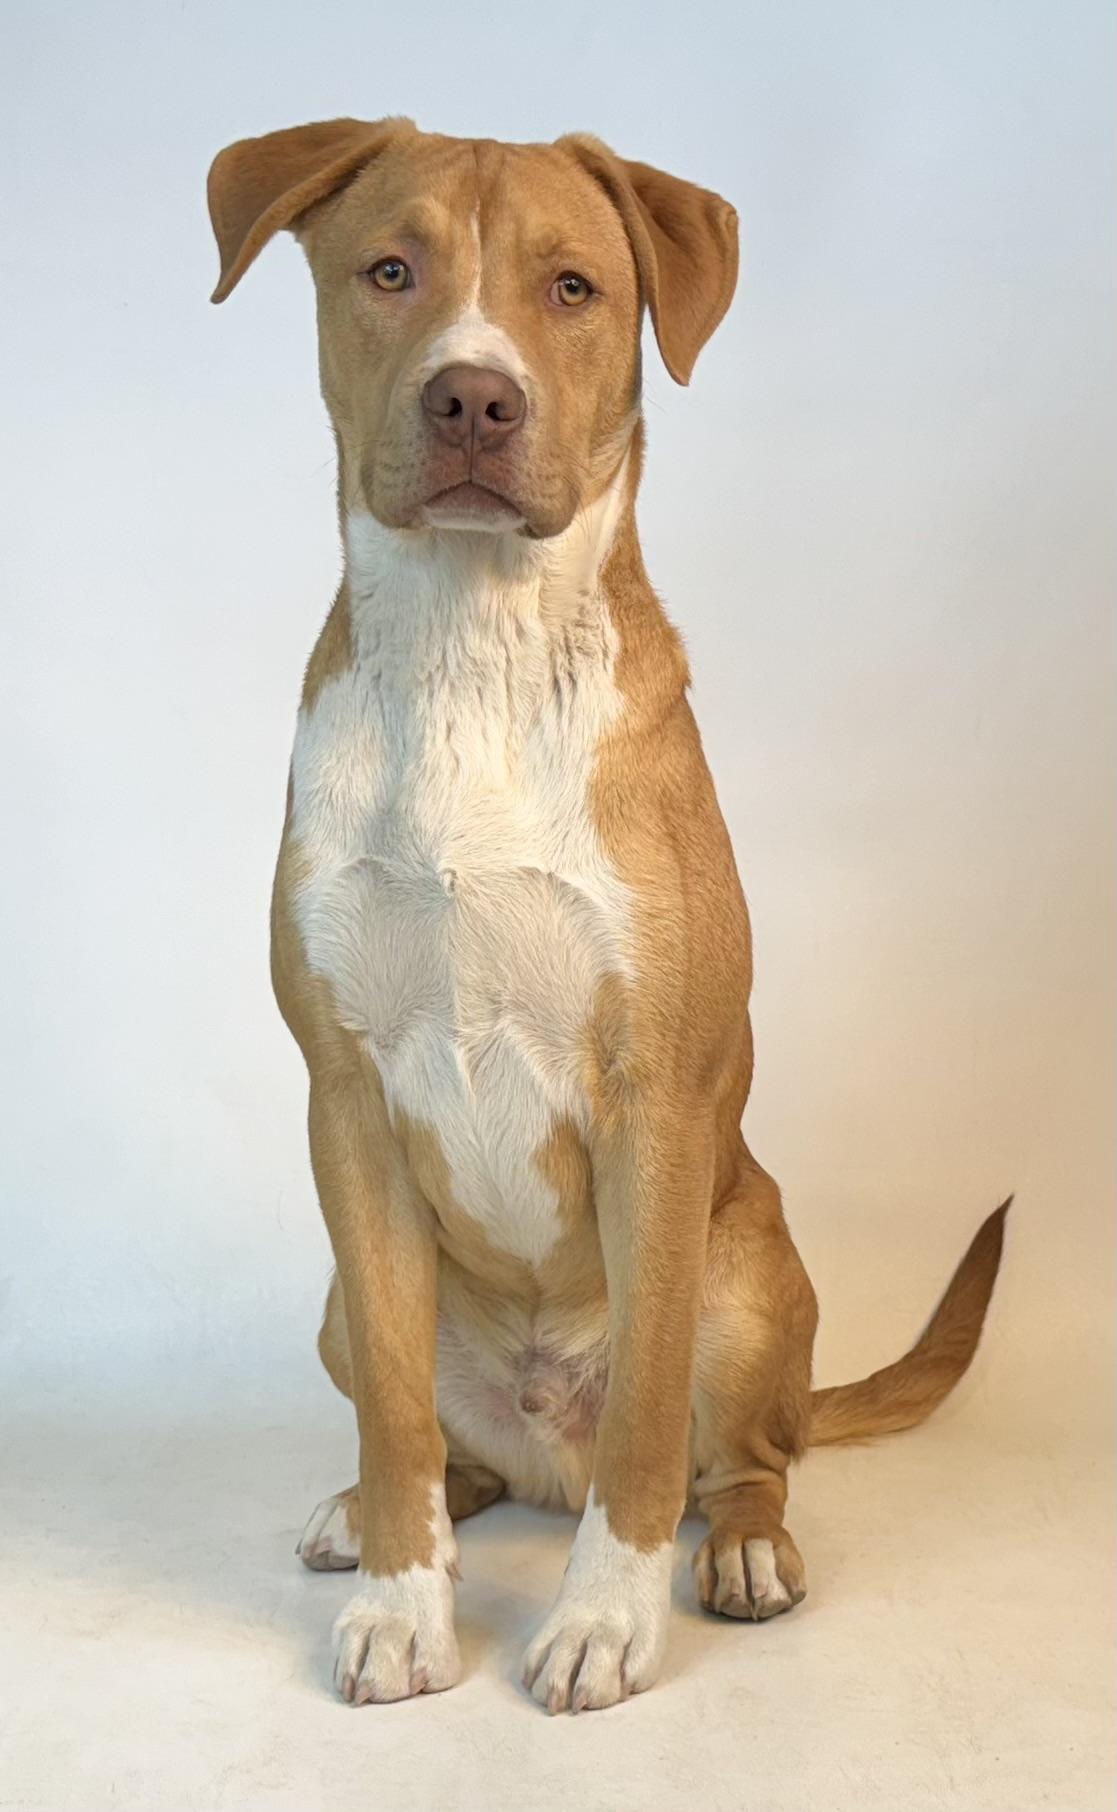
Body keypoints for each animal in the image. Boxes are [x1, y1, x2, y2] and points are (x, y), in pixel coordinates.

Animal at [204, 124, 1008, 1710]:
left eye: (572, 287)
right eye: (389, 269)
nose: (473, 394)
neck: (472, 649)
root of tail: (541, 1450)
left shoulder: (657, 1100)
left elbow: (644, 1414)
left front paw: (603, 1622)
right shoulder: (345, 1102)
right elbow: (394, 1416)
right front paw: (402, 1606)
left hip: (751, 1275)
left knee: (743, 1458)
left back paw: (740, 1552)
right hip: (343, 1298)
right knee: (446, 1446)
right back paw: (379, 1514)